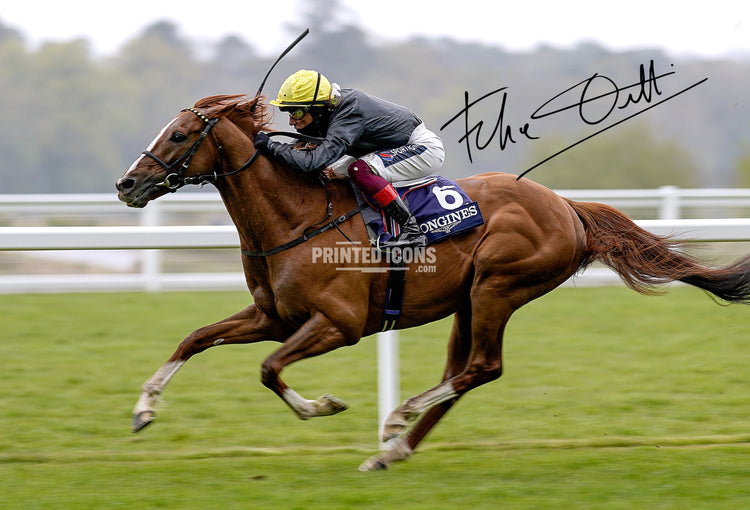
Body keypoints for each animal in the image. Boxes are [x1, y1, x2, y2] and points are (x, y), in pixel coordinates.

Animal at [116, 94, 750, 471]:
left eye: (179, 136)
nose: (126, 184)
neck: (296, 217)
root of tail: (567, 206)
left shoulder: (339, 324)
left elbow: (269, 369)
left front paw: (323, 405)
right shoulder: (273, 316)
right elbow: (196, 338)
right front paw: (144, 409)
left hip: (498, 286)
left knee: (483, 367)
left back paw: (396, 422)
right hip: (468, 300)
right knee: (461, 373)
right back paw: (393, 450)